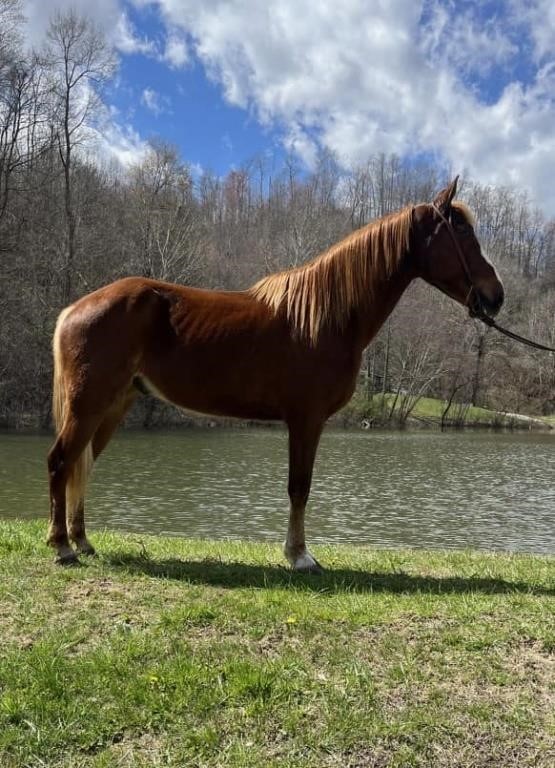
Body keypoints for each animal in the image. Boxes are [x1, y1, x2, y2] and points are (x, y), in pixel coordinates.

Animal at [50, 177, 506, 568]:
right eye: (463, 234)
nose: (496, 296)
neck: (325, 317)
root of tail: (74, 309)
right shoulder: (306, 419)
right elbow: (299, 487)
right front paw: (300, 556)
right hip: (89, 404)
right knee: (61, 461)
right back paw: (62, 548)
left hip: (113, 405)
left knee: (81, 465)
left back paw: (83, 542)